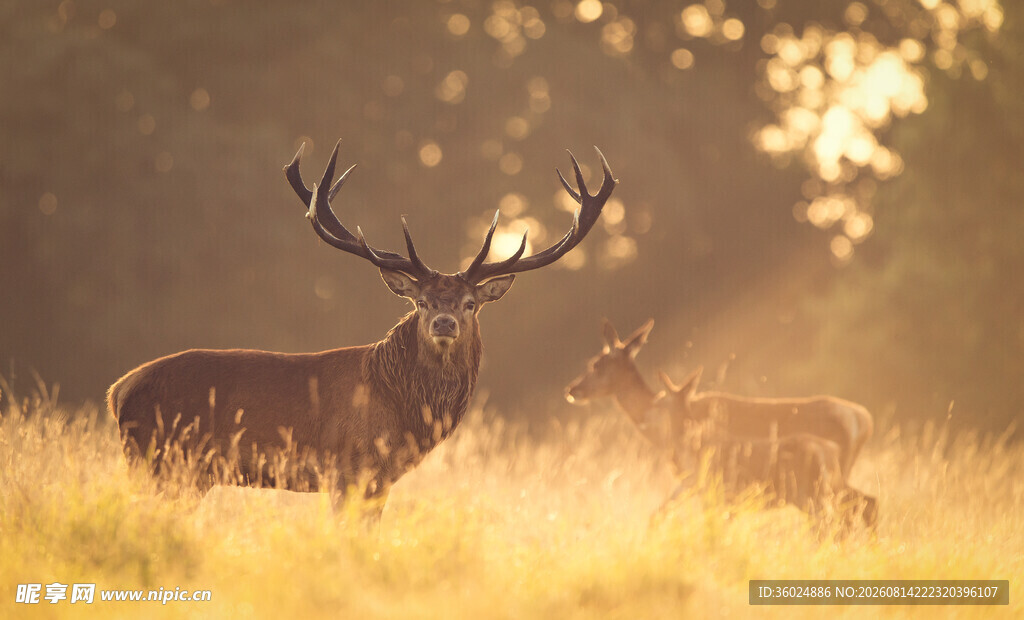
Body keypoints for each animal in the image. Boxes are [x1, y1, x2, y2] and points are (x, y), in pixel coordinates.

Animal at [109, 139, 617, 517]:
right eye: (421, 301)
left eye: (471, 303)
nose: (445, 322)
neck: (404, 411)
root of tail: (118, 390)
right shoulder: (348, 469)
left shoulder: (379, 480)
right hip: (160, 461)